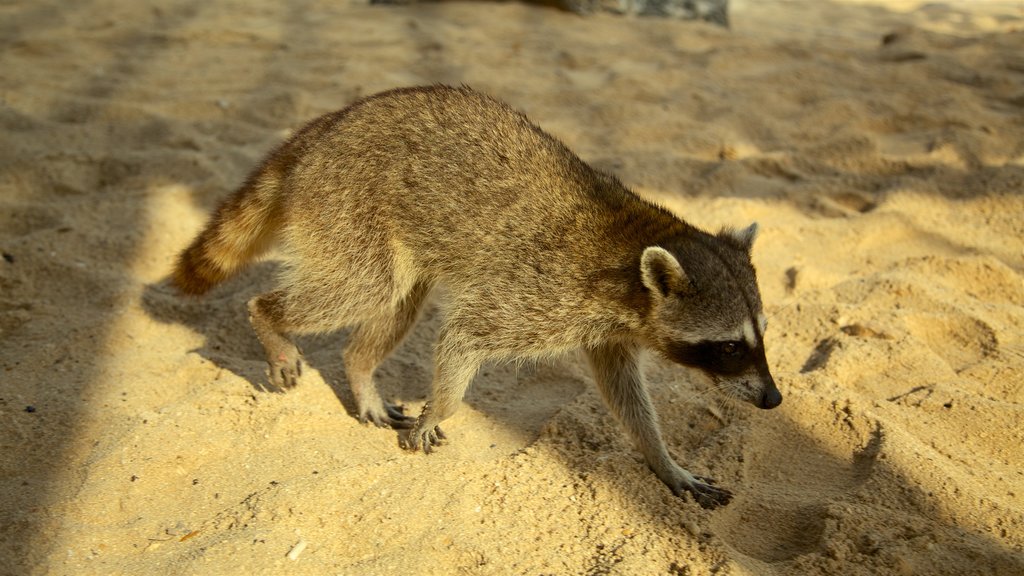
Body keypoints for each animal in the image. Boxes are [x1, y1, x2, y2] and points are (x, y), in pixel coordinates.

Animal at [176, 85, 778, 506]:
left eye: (763, 338)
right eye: (729, 346)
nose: (774, 400)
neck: (634, 243)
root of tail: (326, 126)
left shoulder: (609, 328)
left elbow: (625, 393)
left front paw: (662, 459)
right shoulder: (548, 293)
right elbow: (466, 334)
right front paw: (440, 407)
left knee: (396, 301)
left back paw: (360, 368)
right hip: (346, 202)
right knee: (360, 287)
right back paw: (270, 320)